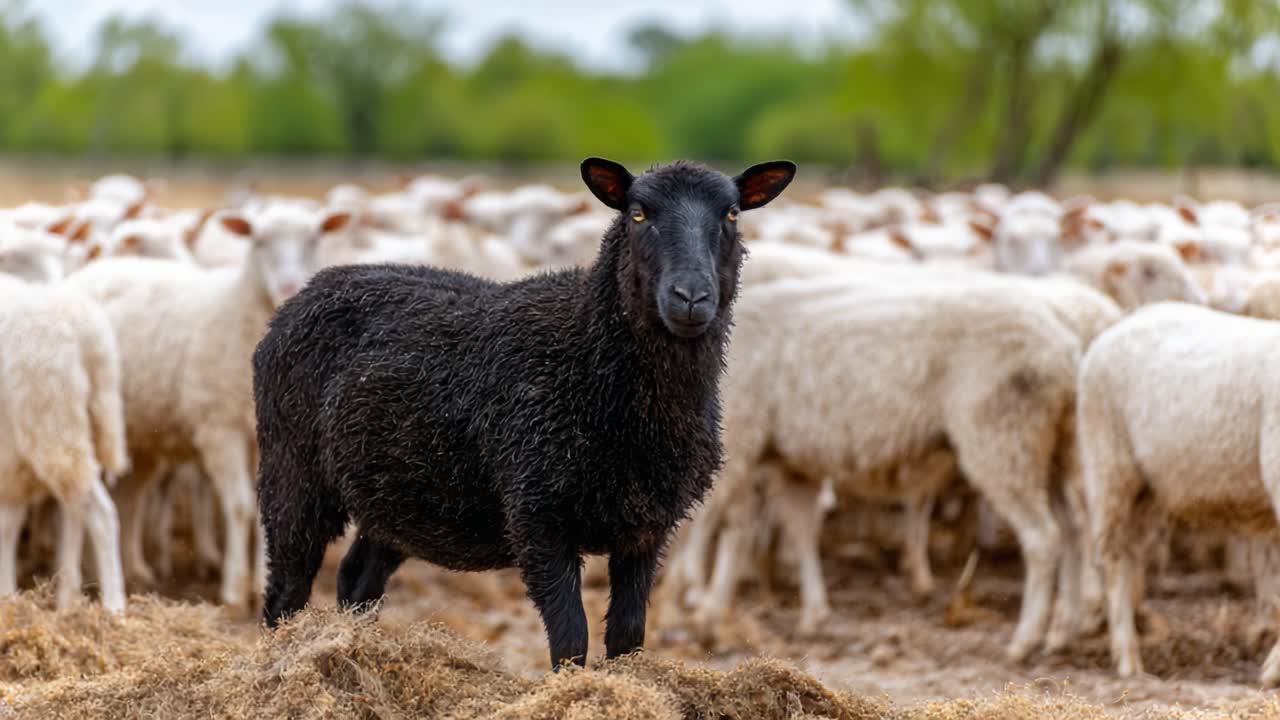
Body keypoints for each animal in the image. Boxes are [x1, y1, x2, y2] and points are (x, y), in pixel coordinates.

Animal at [0, 239, 128, 611]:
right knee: (82, 509)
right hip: (66, 430)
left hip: (53, 426)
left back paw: (106, 604)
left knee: (93, 510)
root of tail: (91, 336)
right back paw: (77, 598)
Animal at [63, 205, 351, 609]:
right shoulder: (220, 428)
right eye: (258, 240)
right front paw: (234, 589)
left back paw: (134, 568)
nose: (287, 287)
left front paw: (260, 582)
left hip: (142, 434)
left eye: (313, 239)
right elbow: (240, 506)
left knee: (130, 497)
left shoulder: (265, 435)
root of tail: (95, 268)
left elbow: (266, 509)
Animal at [252, 158, 796, 668]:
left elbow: (627, 637)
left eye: (732, 213)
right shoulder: (538, 514)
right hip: (291, 468)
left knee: (357, 578)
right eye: (638, 213)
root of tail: (312, 288)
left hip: (396, 493)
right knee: (286, 588)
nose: (691, 298)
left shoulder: (647, 528)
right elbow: (571, 638)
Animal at [1079, 302, 1280, 686]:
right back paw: (1127, 659)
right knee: (1112, 559)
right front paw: (1273, 669)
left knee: (1133, 554)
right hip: (1110, 461)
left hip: (1152, 488)